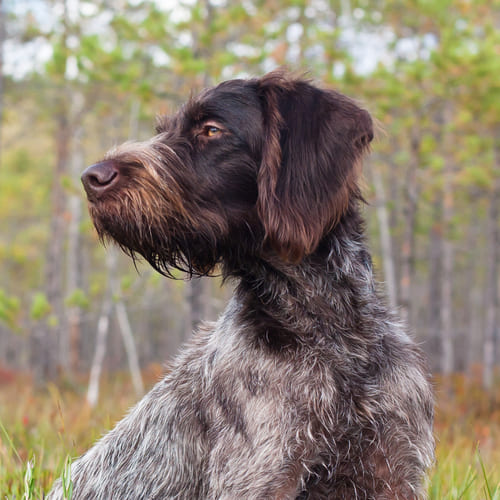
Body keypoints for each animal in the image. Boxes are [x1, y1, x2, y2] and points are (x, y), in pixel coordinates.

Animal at [48, 71, 436, 500]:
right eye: (163, 131)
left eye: (211, 129)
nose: (92, 177)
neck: (331, 332)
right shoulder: (259, 475)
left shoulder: (391, 469)